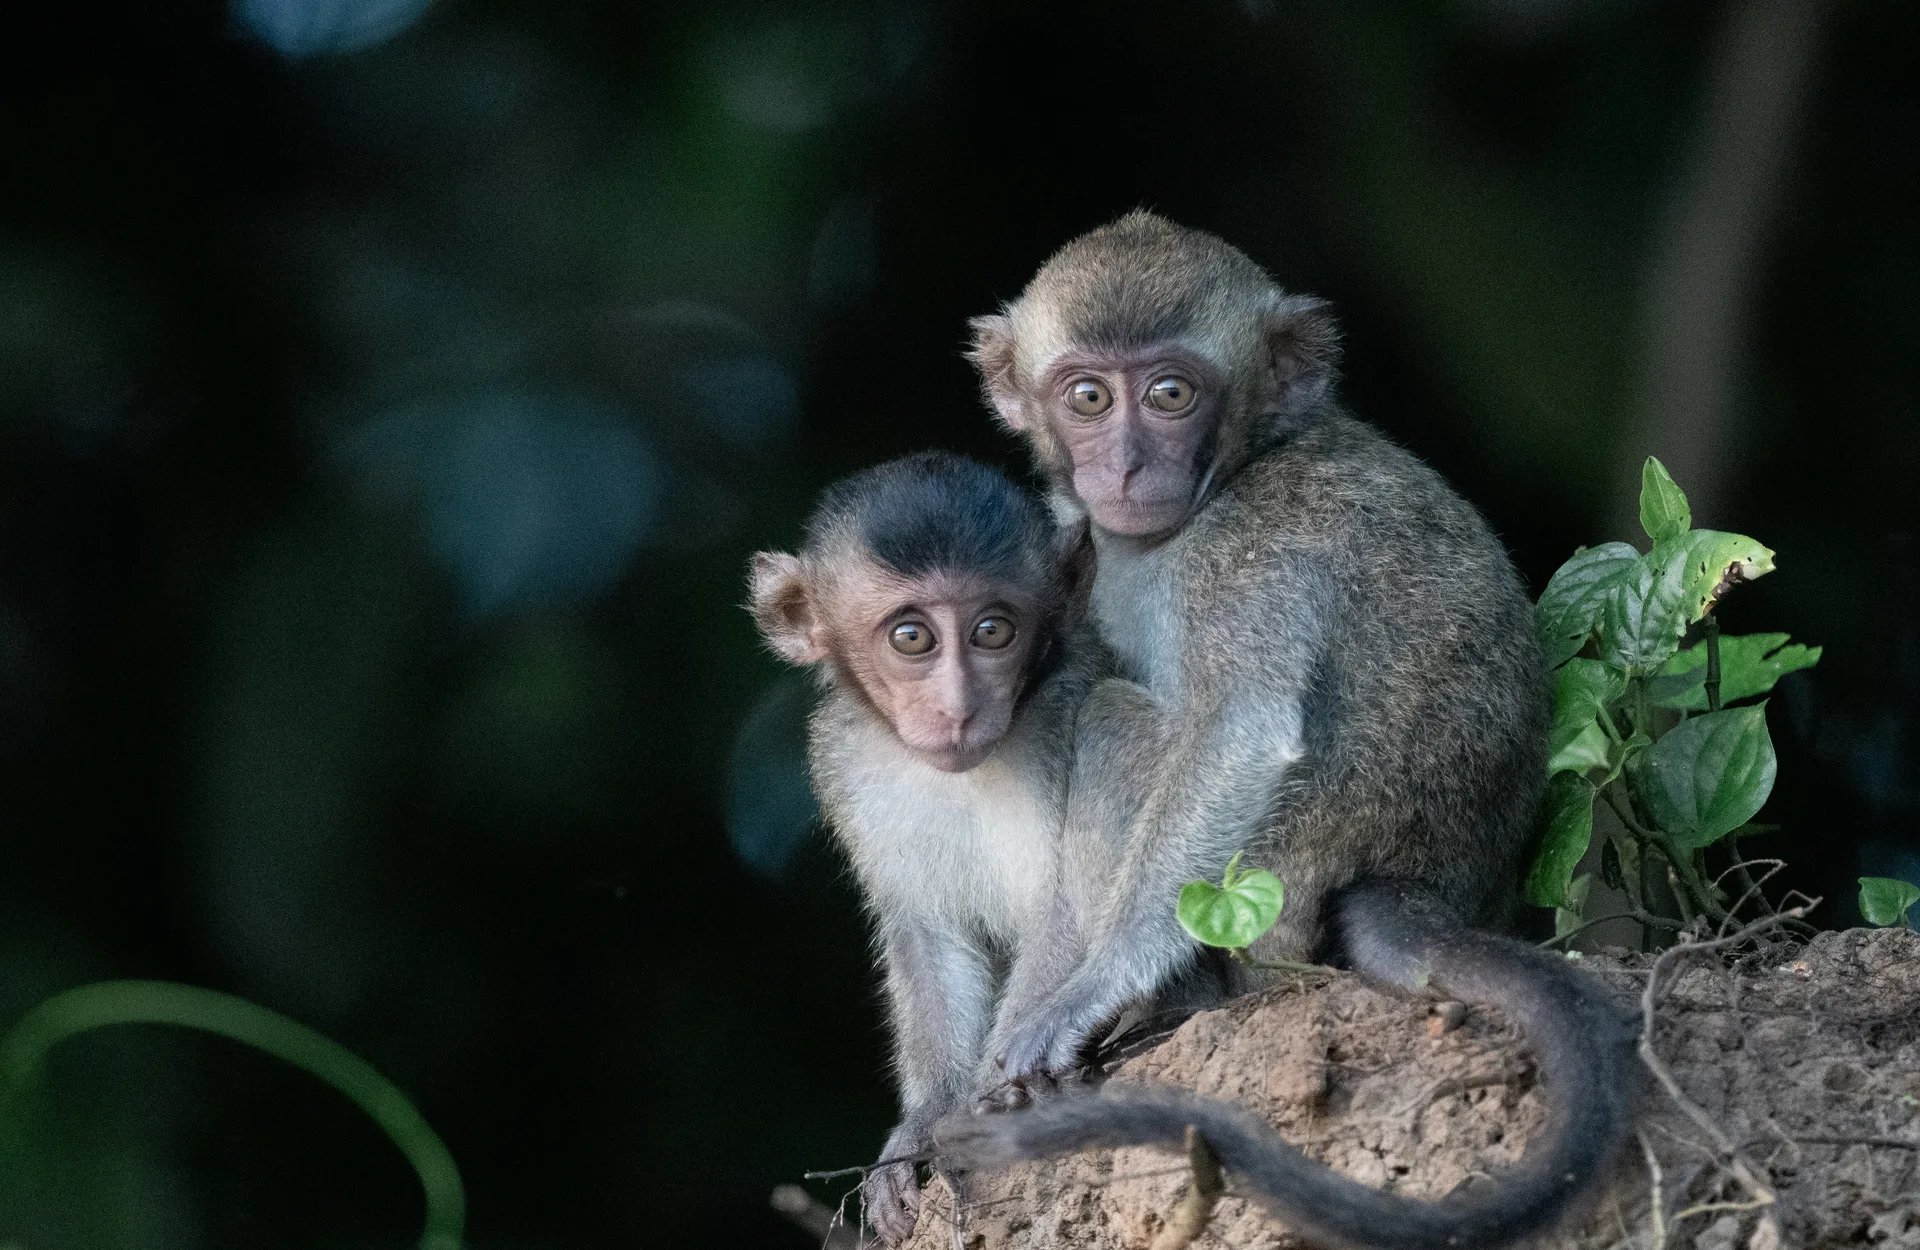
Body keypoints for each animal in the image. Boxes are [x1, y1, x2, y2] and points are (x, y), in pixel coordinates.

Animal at [749, 451, 1228, 1244]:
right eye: (912, 638)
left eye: (993, 630)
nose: (958, 706)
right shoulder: (842, 757)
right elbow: (927, 931)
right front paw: (921, 1126)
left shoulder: (1065, 699)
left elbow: (1063, 914)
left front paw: (982, 1104)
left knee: (1123, 726)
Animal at [936, 211, 1637, 1249]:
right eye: (1089, 397)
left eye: (1171, 394)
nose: (1128, 464)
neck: (1242, 466)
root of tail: (1423, 876)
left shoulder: (1251, 551)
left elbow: (1240, 734)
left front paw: (1082, 995)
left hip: (1279, 890)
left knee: (1116, 723)